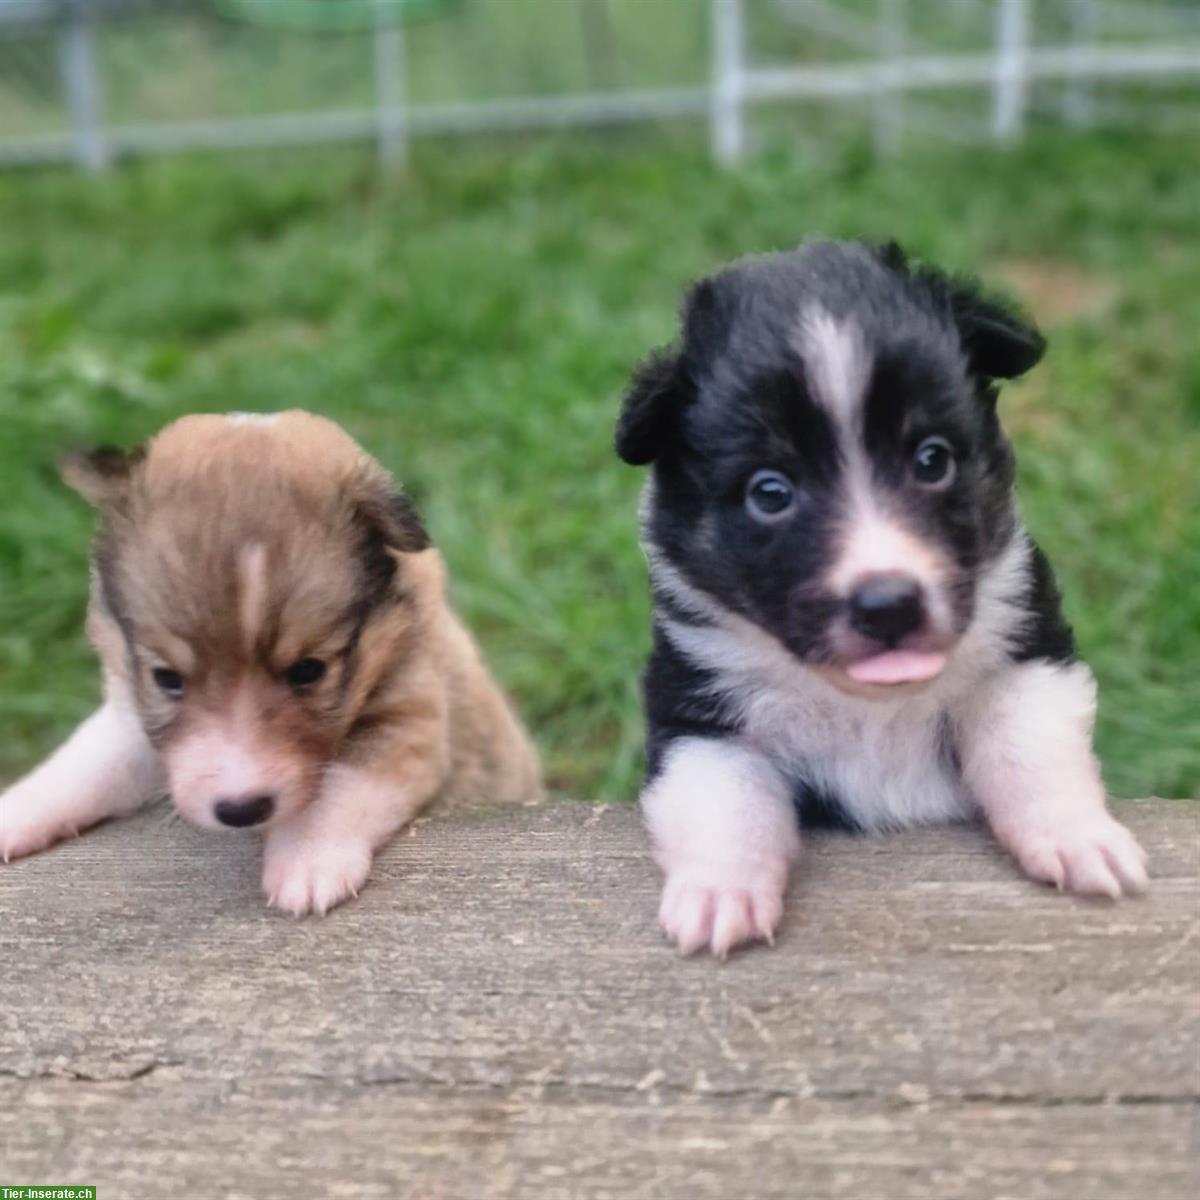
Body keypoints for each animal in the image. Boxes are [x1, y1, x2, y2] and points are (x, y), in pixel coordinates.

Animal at [0, 408, 540, 912]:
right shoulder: (132, 720)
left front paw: (308, 862)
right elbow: (81, 767)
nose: (240, 810)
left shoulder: (411, 720)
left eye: (308, 671)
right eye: (166, 677)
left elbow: (341, 783)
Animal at [614, 241, 1147, 955]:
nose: (889, 604)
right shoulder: (699, 712)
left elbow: (1027, 749)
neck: (871, 707)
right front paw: (718, 894)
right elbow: (724, 801)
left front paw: (1080, 838)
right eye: (769, 492)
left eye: (931, 459)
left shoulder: (1024, 649)